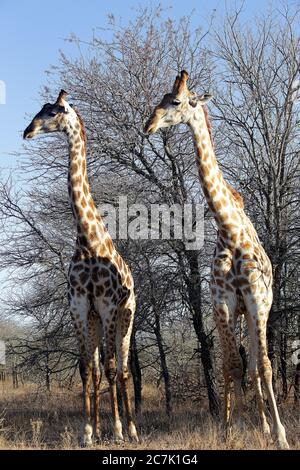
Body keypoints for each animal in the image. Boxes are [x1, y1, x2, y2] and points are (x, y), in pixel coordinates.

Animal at [23, 90, 138, 446]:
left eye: (54, 111)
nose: (28, 131)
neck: (88, 241)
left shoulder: (109, 306)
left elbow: (112, 368)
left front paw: (117, 431)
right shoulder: (79, 307)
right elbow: (88, 369)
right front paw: (88, 431)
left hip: (127, 317)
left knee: (123, 369)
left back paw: (132, 429)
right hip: (95, 320)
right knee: (101, 369)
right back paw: (104, 428)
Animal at [144, 71, 290, 450]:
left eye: (178, 101)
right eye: (161, 98)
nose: (149, 124)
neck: (229, 229)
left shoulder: (255, 300)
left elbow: (264, 366)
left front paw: (280, 435)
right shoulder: (222, 303)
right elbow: (230, 365)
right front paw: (227, 428)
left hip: (257, 310)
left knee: (257, 363)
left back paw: (268, 426)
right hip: (237, 313)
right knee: (240, 362)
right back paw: (258, 424)